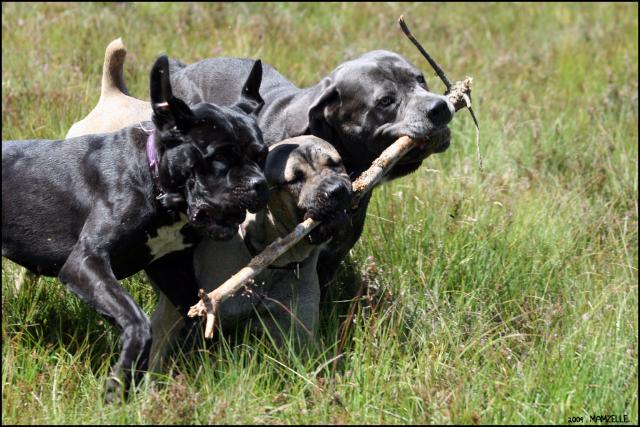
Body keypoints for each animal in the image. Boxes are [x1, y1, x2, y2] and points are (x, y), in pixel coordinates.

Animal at [1, 54, 268, 402]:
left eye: (261, 154)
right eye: (220, 157)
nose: (259, 184)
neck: (154, 180)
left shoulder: (173, 270)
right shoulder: (85, 263)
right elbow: (137, 321)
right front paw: (117, 387)